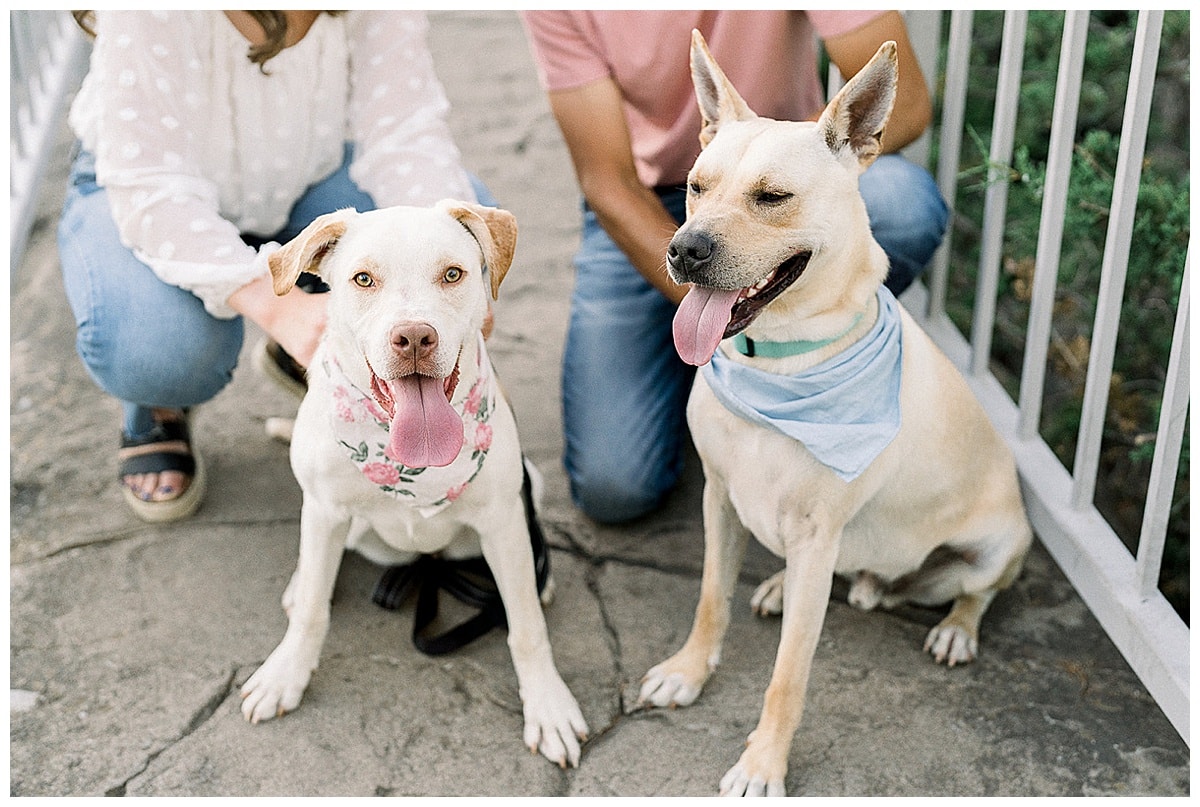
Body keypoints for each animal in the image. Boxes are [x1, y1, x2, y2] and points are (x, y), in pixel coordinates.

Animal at [236, 201, 588, 768]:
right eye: (363, 279)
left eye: (453, 274)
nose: (415, 338)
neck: (411, 466)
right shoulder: (326, 509)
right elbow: (312, 608)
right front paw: (285, 673)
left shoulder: (503, 521)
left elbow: (526, 625)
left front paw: (548, 705)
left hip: (525, 489)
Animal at [638, 34, 1032, 797]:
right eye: (696, 186)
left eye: (772, 197)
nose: (684, 249)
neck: (776, 365)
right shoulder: (720, 497)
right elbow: (710, 599)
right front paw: (689, 671)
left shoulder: (818, 537)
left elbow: (788, 676)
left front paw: (763, 765)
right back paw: (779, 584)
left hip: (998, 548)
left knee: (978, 594)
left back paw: (956, 628)